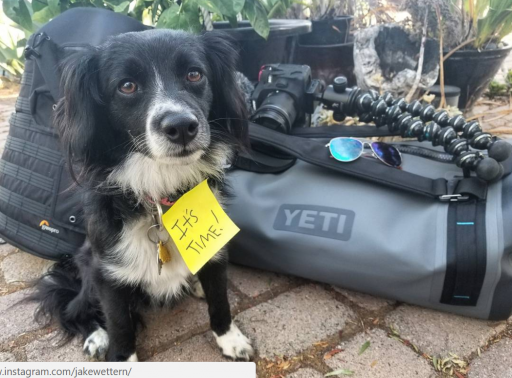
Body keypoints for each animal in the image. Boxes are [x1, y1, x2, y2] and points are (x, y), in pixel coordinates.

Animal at [31, 28, 254, 360]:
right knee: (74, 308)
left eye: (194, 74)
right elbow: (120, 324)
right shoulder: (108, 273)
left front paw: (230, 339)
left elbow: (220, 299)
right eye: (126, 85)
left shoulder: (216, 251)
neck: (161, 194)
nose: (181, 126)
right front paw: (122, 357)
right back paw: (96, 336)